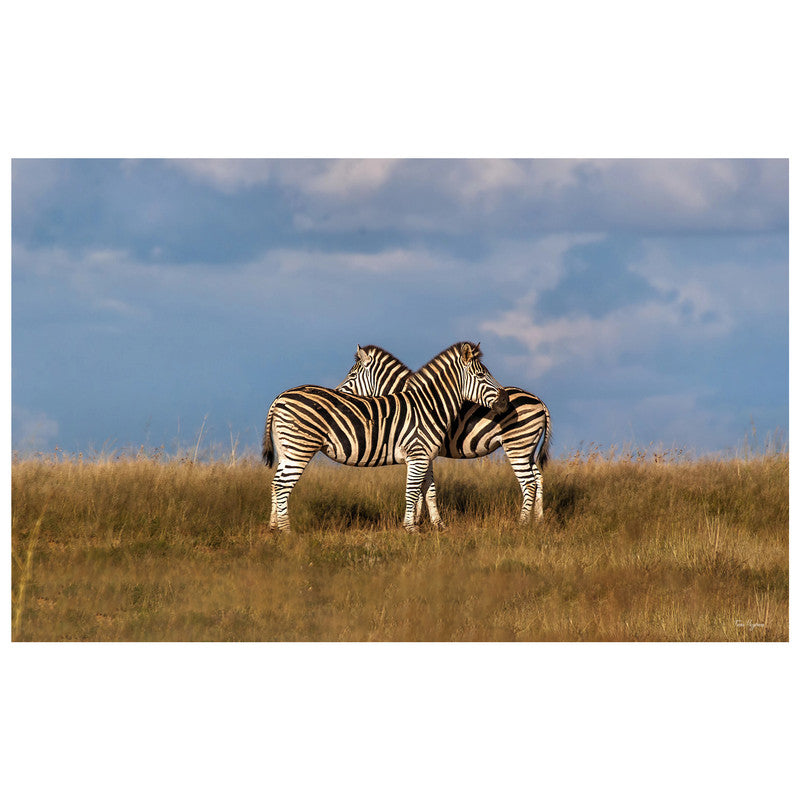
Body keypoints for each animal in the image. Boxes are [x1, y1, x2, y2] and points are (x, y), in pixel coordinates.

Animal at [262, 342, 509, 533]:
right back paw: (287, 532)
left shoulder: (426, 456)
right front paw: (411, 528)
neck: (428, 406)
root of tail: (280, 397)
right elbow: (412, 491)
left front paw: (438, 526)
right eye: (481, 375)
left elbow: (429, 490)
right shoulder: (418, 454)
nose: (505, 401)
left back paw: (274, 528)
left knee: (275, 483)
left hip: (287, 450)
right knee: (282, 486)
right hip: (299, 448)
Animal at [336, 344, 551, 524]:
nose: (337, 393)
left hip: (517, 445)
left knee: (529, 483)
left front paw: (416, 520)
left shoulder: (420, 449)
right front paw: (420, 519)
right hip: (527, 447)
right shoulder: (423, 451)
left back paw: (522, 523)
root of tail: (539, 400)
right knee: (538, 478)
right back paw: (538, 520)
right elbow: (424, 487)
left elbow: (420, 489)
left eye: (352, 375)